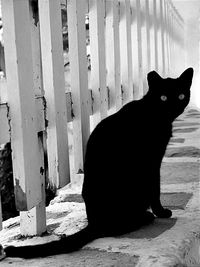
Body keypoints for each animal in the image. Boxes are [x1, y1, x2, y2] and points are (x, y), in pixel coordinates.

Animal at [1, 67, 194, 260]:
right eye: (163, 97)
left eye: (181, 96)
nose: (174, 106)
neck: (154, 115)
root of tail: (94, 224)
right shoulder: (153, 163)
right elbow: (156, 190)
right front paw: (161, 212)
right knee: (117, 228)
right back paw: (145, 217)